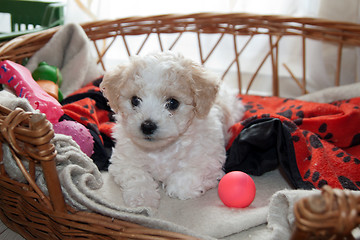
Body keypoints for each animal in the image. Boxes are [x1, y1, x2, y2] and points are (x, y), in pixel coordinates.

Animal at [100, 51, 245, 208]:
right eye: (135, 100)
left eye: (173, 103)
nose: (147, 126)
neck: (160, 150)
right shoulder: (124, 159)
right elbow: (136, 175)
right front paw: (142, 197)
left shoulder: (208, 160)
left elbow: (186, 179)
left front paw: (173, 187)